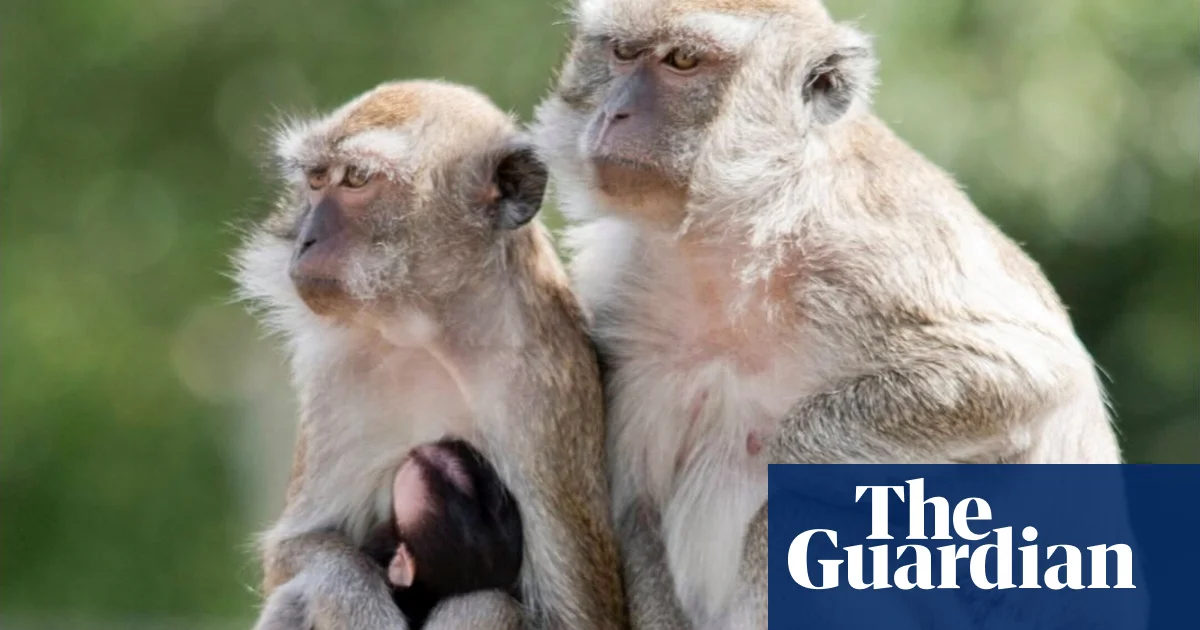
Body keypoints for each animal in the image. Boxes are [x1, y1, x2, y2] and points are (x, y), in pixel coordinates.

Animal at [531, 0, 1122, 627]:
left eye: (683, 61)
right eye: (622, 52)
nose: (615, 112)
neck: (735, 235)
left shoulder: (870, 252)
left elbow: (1026, 372)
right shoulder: (621, 296)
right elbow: (635, 510)